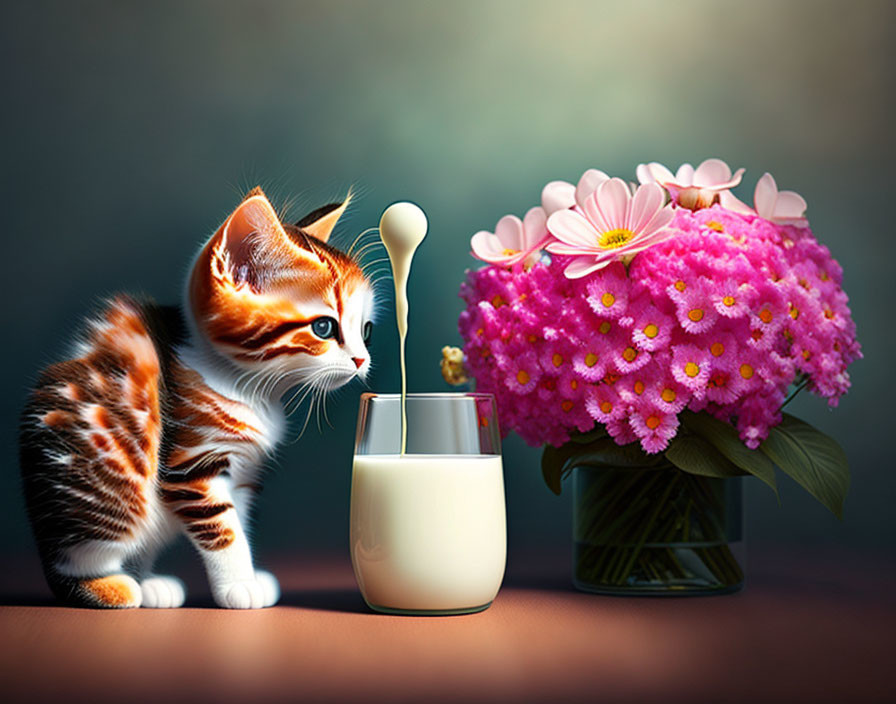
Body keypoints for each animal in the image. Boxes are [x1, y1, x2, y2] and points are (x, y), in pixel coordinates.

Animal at [17, 187, 374, 604]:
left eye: (365, 330)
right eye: (323, 327)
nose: (362, 359)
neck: (251, 390)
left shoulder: (244, 471)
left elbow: (240, 520)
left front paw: (250, 578)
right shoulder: (191, 464)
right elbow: (223, 528)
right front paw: (238, 586)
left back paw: (150, 584)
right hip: (113, 481)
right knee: (76, 563)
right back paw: (113, 586)